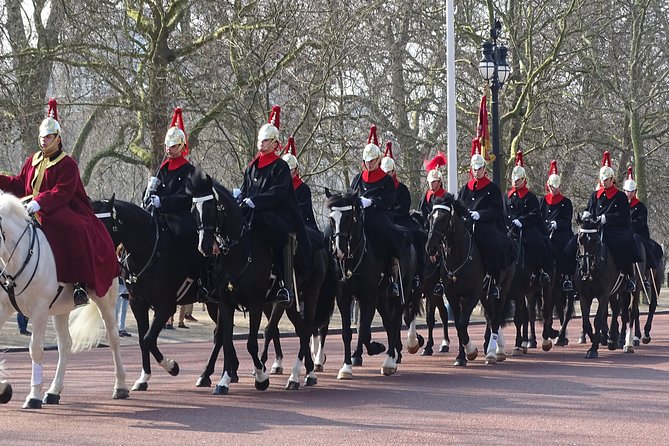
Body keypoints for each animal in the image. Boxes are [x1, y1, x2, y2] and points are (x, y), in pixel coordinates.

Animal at [0, 192, 129, 408]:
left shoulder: (40, 310)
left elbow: (36, 350)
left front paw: (33, 396)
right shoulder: (3, 308)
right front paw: (4, 389)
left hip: (106, 302)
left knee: (113, 340)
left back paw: (120, 386)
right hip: (61, 310)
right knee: (66, 345)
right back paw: (54, 391)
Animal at [92, 199, 201, 390]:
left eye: (105, 226)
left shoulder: (166, 306)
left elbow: (149, 338)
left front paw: (172, 366)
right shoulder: (138, 304)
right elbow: (143, 340)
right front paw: (143, 378)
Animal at [190, 169, 328, 392]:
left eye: (211, 207)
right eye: (193, 209)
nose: (205, 246)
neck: (238, 251)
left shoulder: (254, 303)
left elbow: (251, 342)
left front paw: (261, 377)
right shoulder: (225, 303)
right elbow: (225, 338)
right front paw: (224, 379)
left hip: (309, 295)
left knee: (306, 328)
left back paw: (298, 375)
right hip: (289, 304)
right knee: (300, 329)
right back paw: (306, 371)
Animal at [326, 190, 410, 378]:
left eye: (349, 217)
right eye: (331, 219)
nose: (339, 251)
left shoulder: (369, 296)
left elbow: (364, 331)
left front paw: (376, 347)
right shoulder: (343, 297)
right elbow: (348, 332)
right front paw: (346, 367)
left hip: (399, 295)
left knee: (394, 323)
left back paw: (389, 361)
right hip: (382, 299)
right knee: (388, 323)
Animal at [426, 195, 516, 366]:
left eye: (444, 218)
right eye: (430, 217)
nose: (430, 248)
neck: (458, 255)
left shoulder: (473, 294)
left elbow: (463, 322)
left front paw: (471, 350)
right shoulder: (453, 295)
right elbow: (459, 325)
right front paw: (461, 357)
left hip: (502, 290)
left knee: (495, 319)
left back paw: (493, 352)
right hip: (485, 296)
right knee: (490, 316)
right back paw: (494, 347)